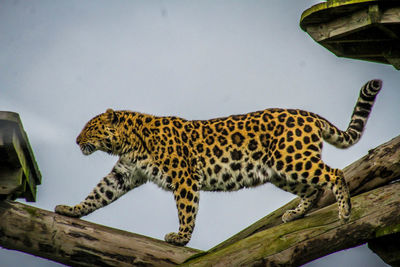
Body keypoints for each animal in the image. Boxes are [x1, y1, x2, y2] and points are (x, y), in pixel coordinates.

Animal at [55, 79, 382, 247]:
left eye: (91, 128)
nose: (76, 140)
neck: (131, 141)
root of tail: (309, 114)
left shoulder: (184, 177)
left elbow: (186, 209)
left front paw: (181, 238)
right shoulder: (124, 174)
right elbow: (99, 194)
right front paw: (71, 210)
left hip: (293, 160)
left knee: (335, 174)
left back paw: (344, 210)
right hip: (280, 171)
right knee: (313, 190)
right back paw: (294, 214)